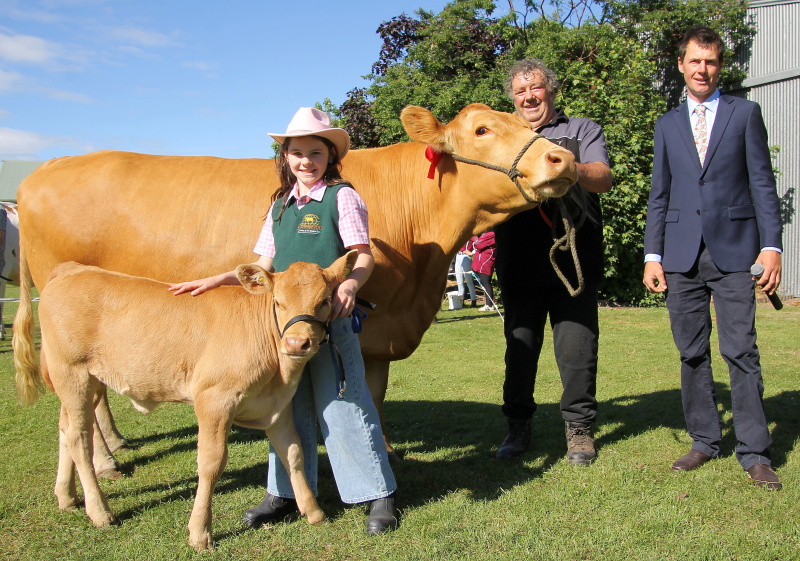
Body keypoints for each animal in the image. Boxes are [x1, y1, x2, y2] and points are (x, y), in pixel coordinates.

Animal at [13, 103, 577, 461]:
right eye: (482, 129)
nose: (563, 158)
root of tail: (47, 167)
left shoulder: (376, 335)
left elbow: (374, 398)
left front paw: (385, 452)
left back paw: (113, 447)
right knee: (80, 400)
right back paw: (105, 462)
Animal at [14, 252, 358, 550]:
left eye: (325, 301)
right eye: (277, 302)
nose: (297, 343)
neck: (279, 372)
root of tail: (71, 270)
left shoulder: (277, 405)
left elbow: (294, 453)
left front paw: (313, 512)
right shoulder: (214, 400)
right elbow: (211, 463)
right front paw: (200, 532)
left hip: (88, 381)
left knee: (65, 429)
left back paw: (67, 497)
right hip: (72, 374)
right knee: (79, 437)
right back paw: (99, 511)